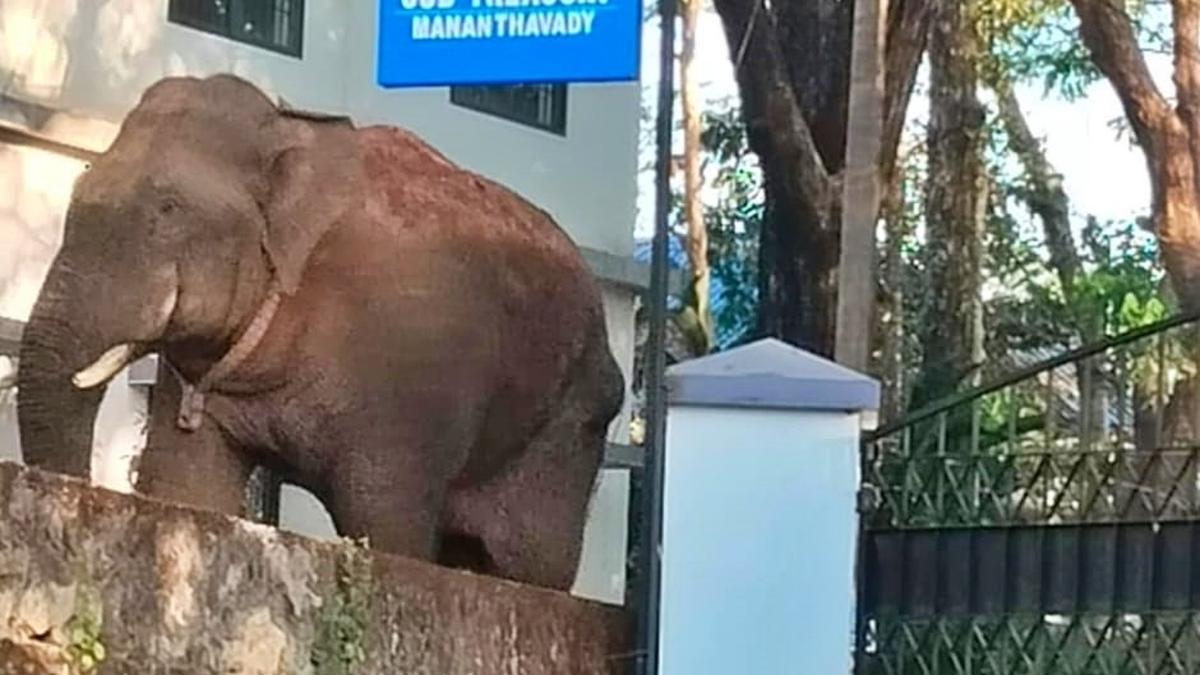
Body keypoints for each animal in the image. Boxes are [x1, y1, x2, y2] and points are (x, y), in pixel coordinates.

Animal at [17, 74, 625, 592]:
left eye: (168, 209)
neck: (289, 127)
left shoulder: (408, 378)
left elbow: (384, 519)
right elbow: (187, 485)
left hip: (567, 429)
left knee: (529, 566)